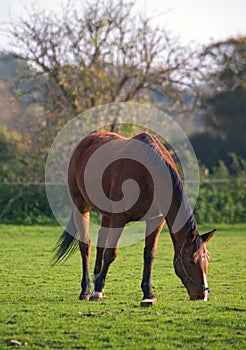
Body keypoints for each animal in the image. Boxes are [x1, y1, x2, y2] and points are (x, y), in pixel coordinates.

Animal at [53, 131, 215, 304]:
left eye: (208, 259)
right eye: (191, 260)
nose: (202, 295)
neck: (148, 174)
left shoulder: (155, 221)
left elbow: (149, 254)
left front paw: (148, 294)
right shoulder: (119, 218)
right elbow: (111, 253)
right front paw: (96, 291)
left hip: (106, 213)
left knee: (101, 242)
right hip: (82, 206)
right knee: (86, 245)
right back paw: (86, 289)